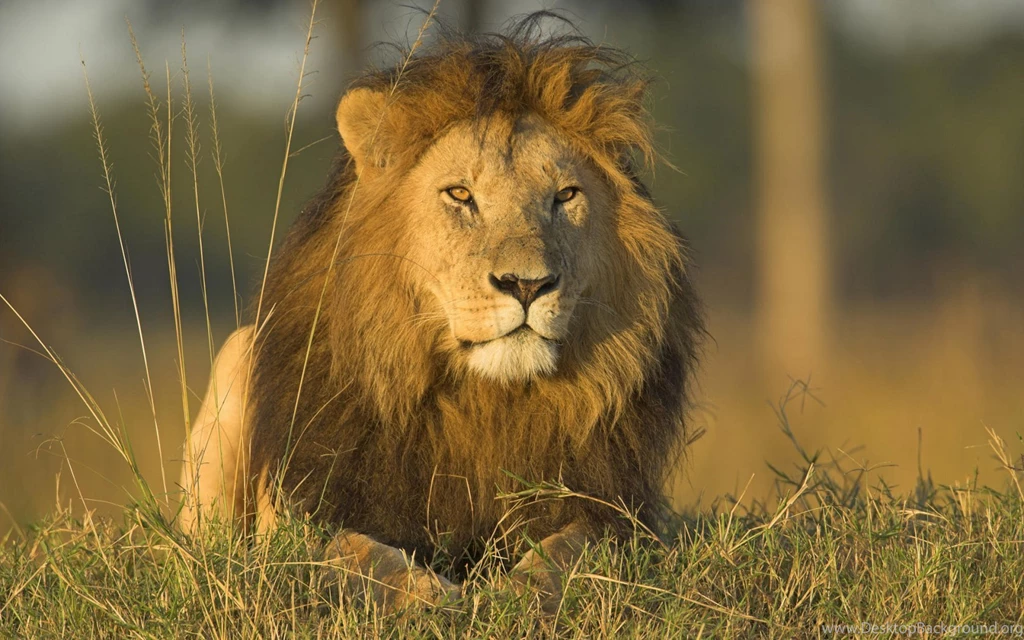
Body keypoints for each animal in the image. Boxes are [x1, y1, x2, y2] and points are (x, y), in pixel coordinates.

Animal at [179, 15, 704, 613]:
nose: (527, 284)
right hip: (236, 358)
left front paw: (519, 594)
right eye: (460, 194)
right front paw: (429, 597)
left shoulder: (613, 510)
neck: (485, 402)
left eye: (566, 195)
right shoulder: (308, 510)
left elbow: (571, 548)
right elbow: (358, 553)